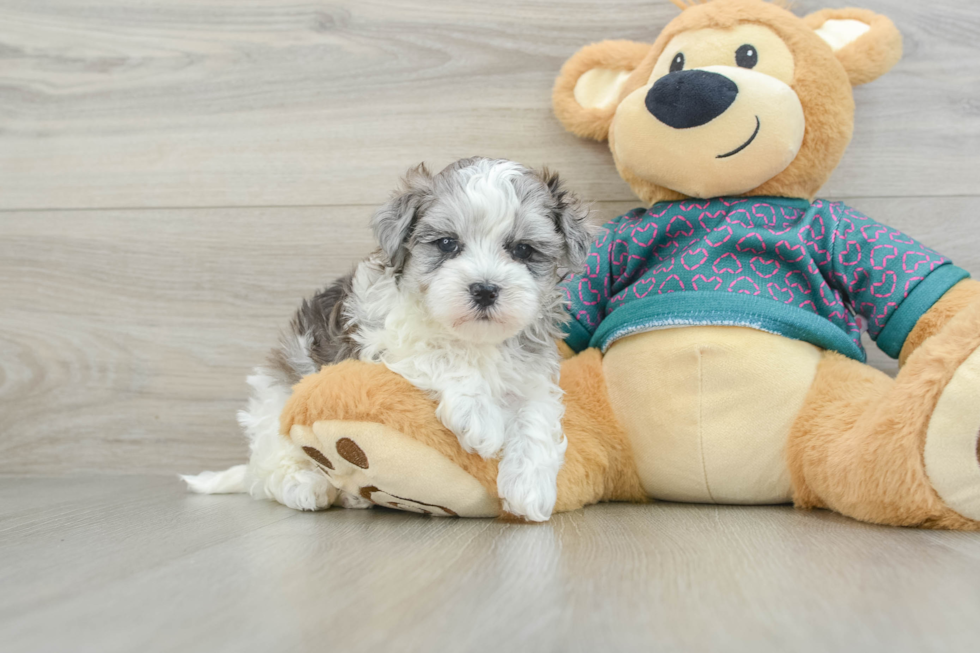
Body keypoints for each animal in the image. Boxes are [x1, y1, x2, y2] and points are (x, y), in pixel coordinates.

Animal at [188, 157, 592, 520]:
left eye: (523, 249)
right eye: (447, 244)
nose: (485, 289)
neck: (472, 337)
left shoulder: (531, 373)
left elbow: (536, 415)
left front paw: (531, 488)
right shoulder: (382, 338)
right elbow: (440, 354)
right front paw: (481, 417)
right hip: (275, 403)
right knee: (271, 466)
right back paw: (305, 486)